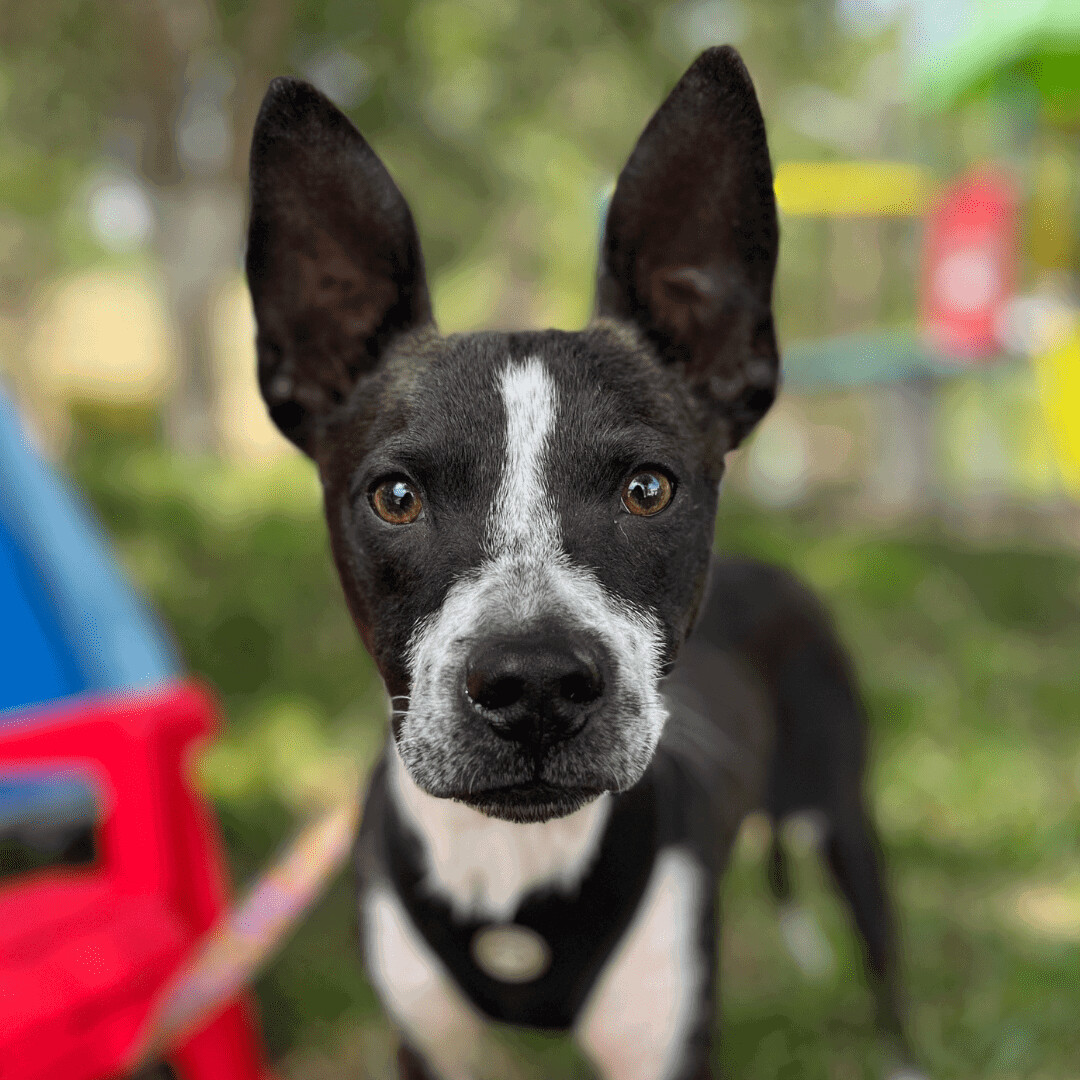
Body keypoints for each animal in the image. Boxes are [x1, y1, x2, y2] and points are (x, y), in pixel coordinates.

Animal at [243, 46, 911, 1075]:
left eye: (648, 489)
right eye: (395, 497)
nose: (535, 687)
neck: (518, 882)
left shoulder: (665, 1042)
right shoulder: (427, 1044)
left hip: (841, 811)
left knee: (882, 959)